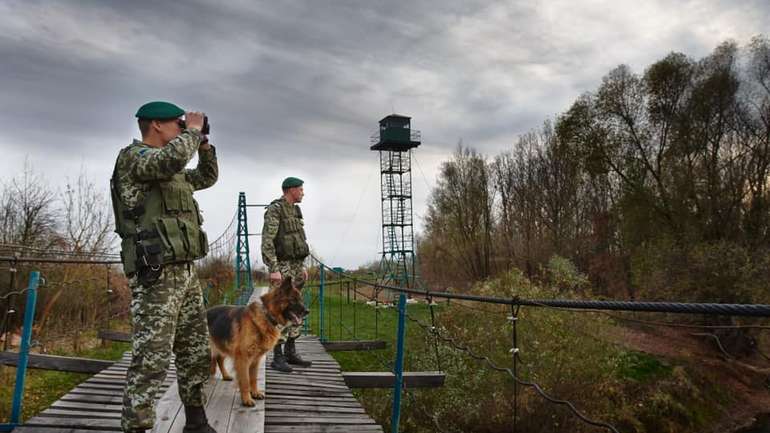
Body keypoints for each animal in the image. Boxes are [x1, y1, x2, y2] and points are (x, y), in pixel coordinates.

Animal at [210, 276, 308, 404]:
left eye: (301, 300)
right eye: (293, 300)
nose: (307, 311)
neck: (267, 315)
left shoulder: (255, 359)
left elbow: (253, 378)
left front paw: (255, 393)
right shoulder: (243, 358)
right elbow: (245, 380)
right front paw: (246, 399)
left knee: (219, 360)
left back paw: (225, 375)